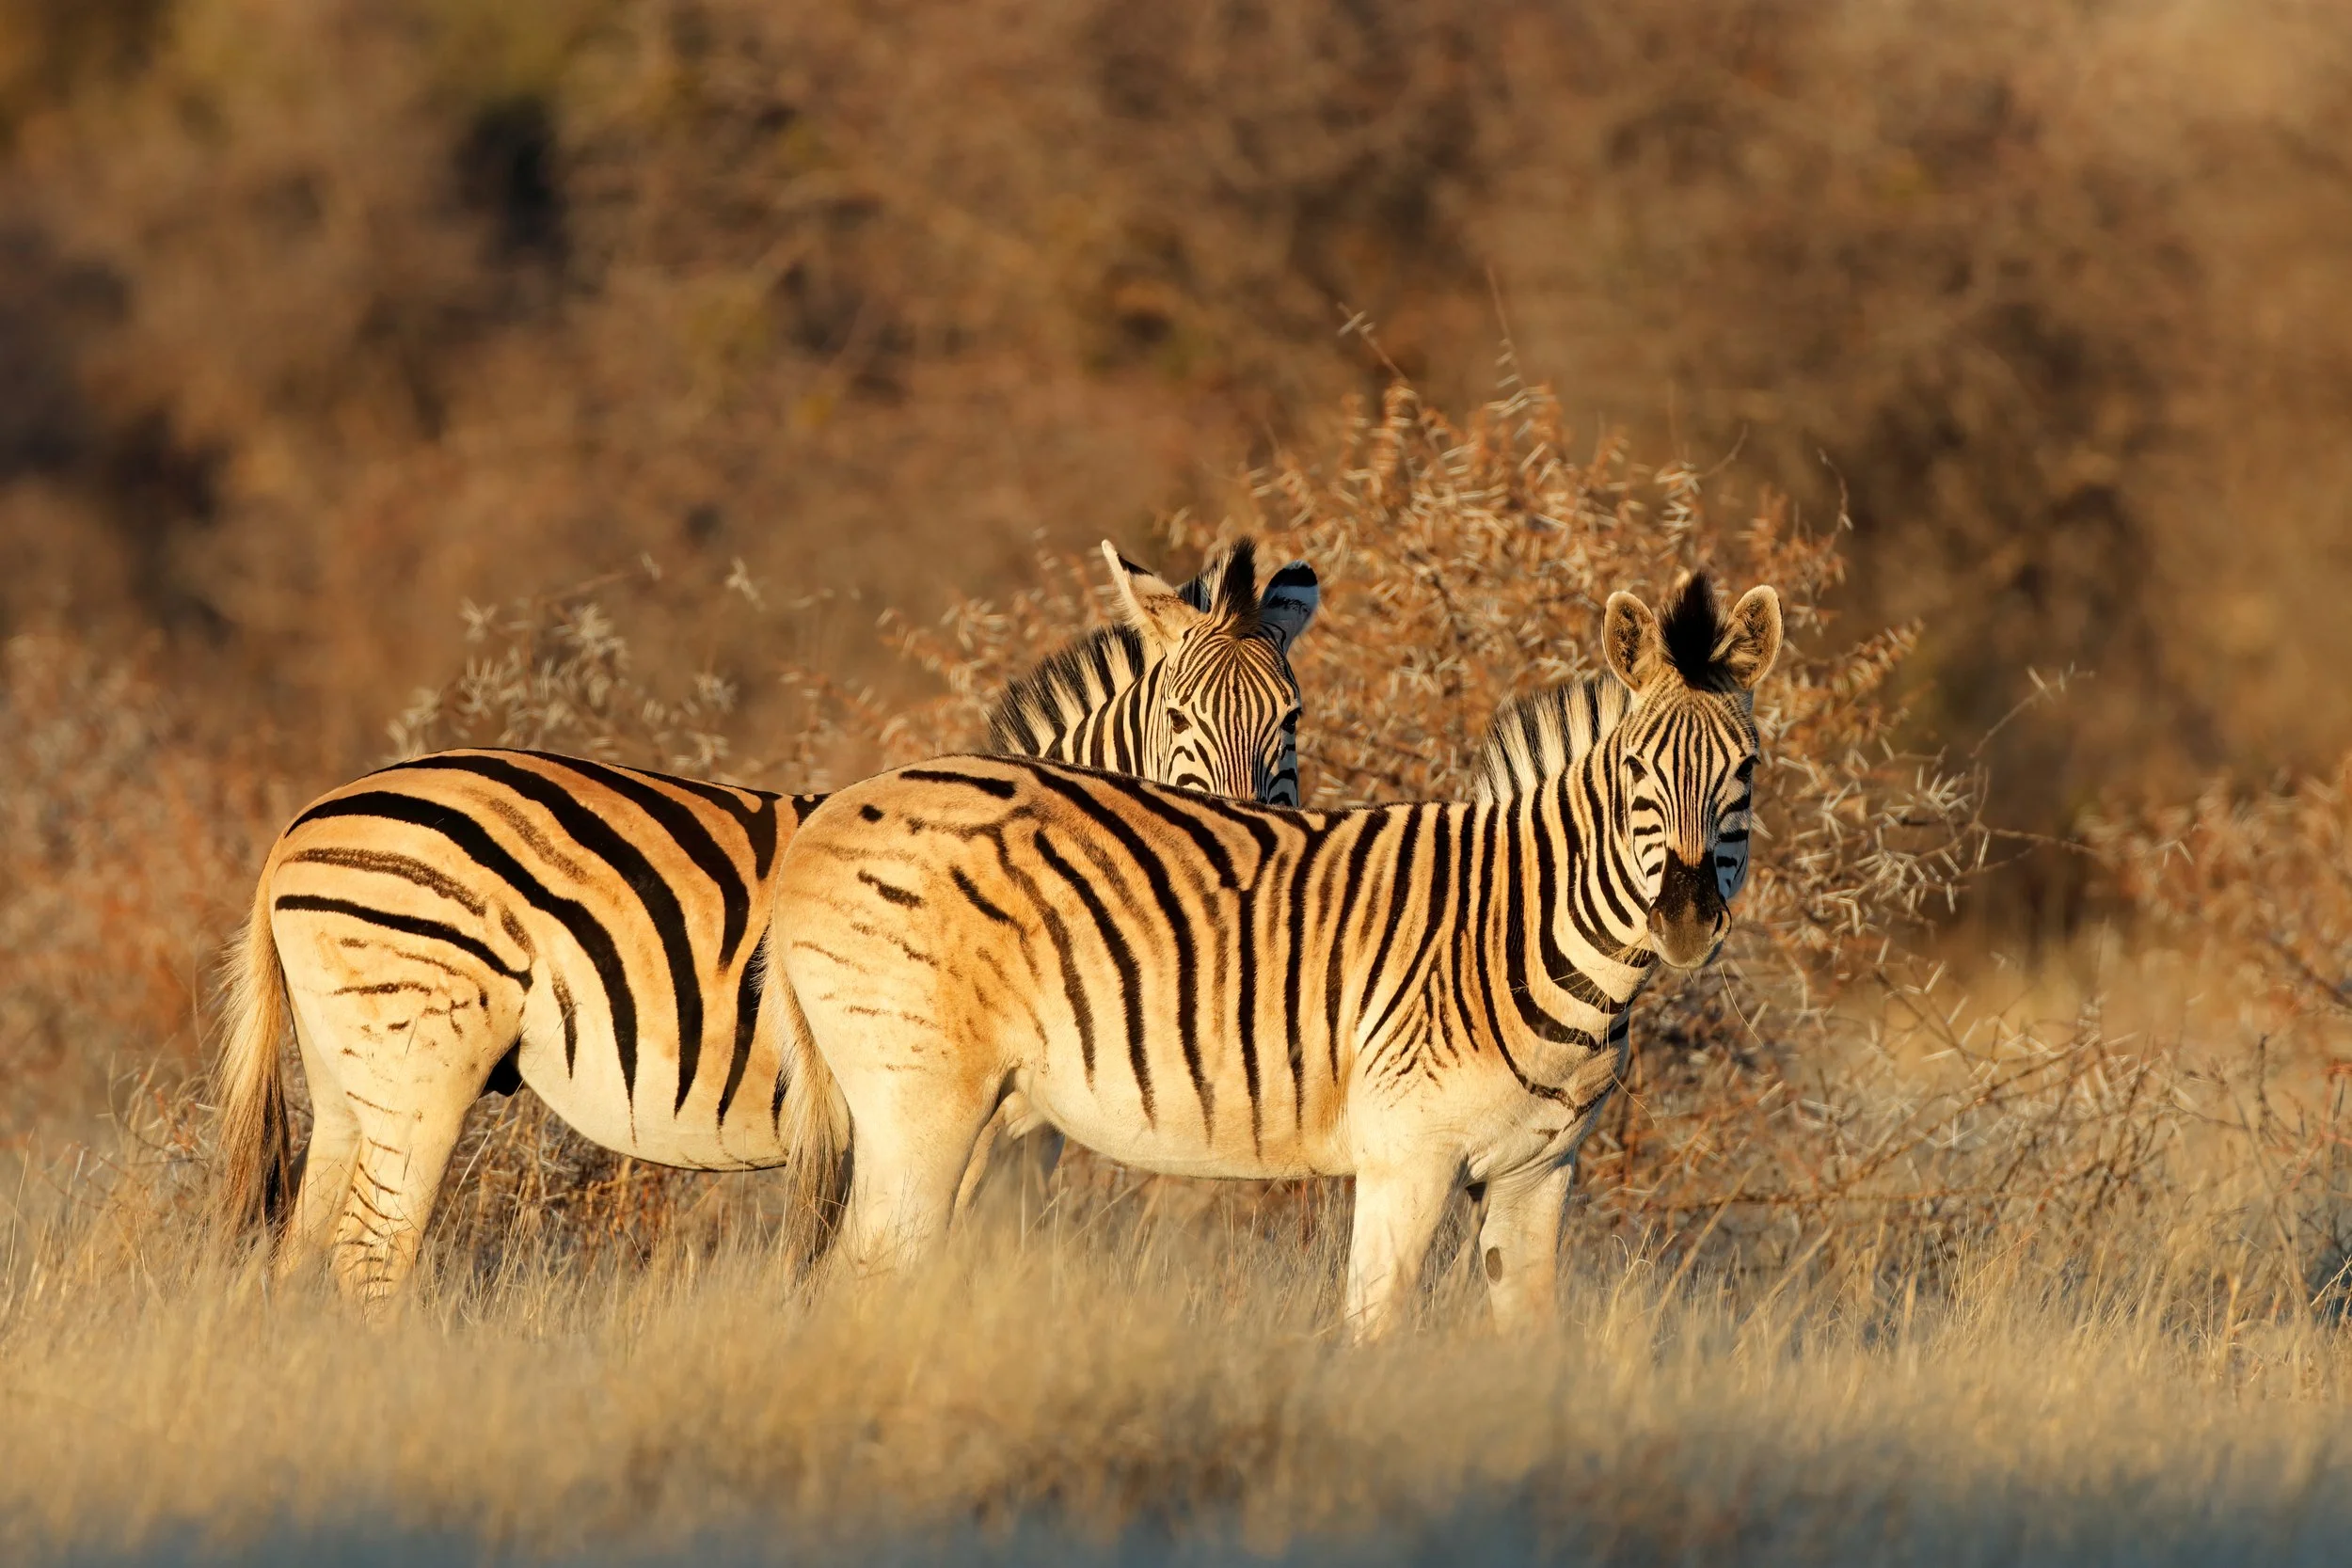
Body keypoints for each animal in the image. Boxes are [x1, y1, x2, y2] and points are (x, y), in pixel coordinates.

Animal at [216, 539, 1320, 1306]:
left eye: (1292, 720)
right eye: (1178, 718)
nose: (1243, 836)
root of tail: (300, 822)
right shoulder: (965, 1115)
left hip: (352, 1076)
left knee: (303, 1252)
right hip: (421, 1058)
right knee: (369, 1256)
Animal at [771, 573, 1780, 1338]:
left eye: (1748, 769)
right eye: (1636, 771)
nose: (1686, 919)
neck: (1520, 929)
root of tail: (822, 820)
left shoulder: (1538, 1175)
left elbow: (1531, 1343)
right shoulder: (1406, 1163)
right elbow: (1374, 1337)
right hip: (917, 1104)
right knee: (861, 1278)